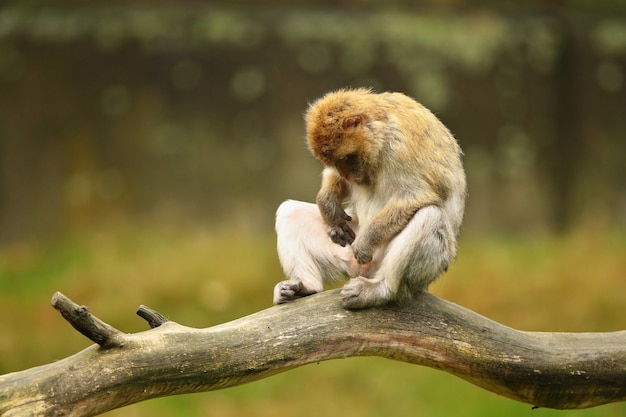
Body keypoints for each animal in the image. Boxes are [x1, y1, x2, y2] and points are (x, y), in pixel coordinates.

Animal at [272, 88, 464, 308]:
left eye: (345, 158)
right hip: (345, 254)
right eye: (335, 162)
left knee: (430, 215)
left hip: (423, 267)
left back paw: (381, 289)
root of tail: (363, 271)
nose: (346, 174)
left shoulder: (400, 147)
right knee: (289, 211)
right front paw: (329, 206)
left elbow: (415, 195)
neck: (380, 131)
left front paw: (366, 243)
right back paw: (305, 286)